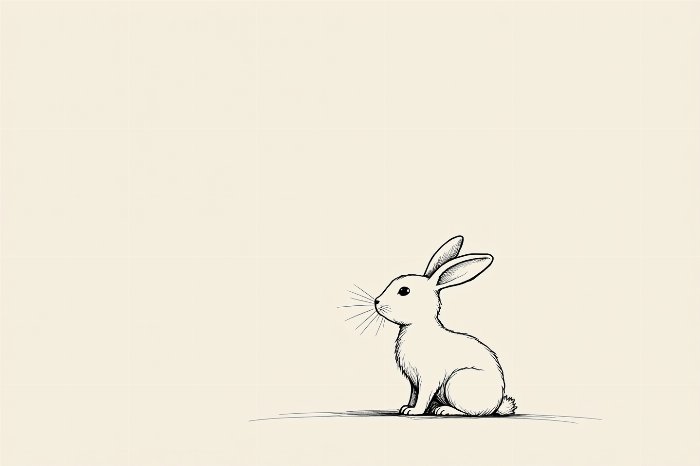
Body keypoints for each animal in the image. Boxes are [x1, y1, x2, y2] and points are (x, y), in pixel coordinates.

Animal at [373, 235, 516, 416]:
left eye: (404, 291)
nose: (376, 301)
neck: (418, 327)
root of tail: (496, 405)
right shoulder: (414, 382)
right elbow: (413, 395)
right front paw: (405, 408)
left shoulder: (428, 378)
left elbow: (423, 396)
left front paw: (415, 411)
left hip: (457, 383)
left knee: (469, 412)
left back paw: (443, 410)